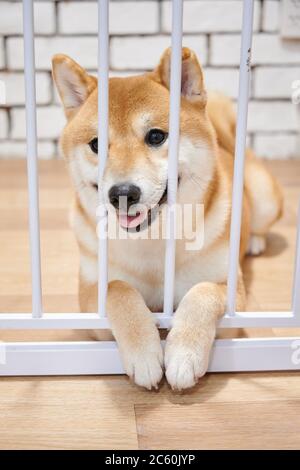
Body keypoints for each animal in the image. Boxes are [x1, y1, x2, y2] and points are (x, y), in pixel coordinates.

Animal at [52, 48, 284, 390]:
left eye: (156, 136)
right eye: (96, 145)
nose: (122, 193)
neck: (153, 243)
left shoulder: (232, 302)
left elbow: (202, 292)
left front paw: (184, 354)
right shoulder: (90, 305)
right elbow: (118, 290)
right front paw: (144, 353)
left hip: (266, 197)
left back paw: (254, 241)